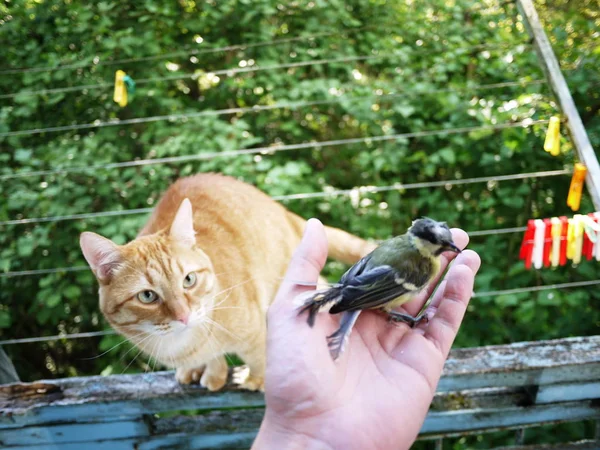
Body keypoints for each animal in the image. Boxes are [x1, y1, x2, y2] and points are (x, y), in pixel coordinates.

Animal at [78, 172, 372, 390]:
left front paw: (257, 380)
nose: (184, 316)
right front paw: (211, 372)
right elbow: (215, 357)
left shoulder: (254, 332)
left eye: (189, 280)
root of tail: (281, 210)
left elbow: (259, 356)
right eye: (147, 296)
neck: (184, 344)